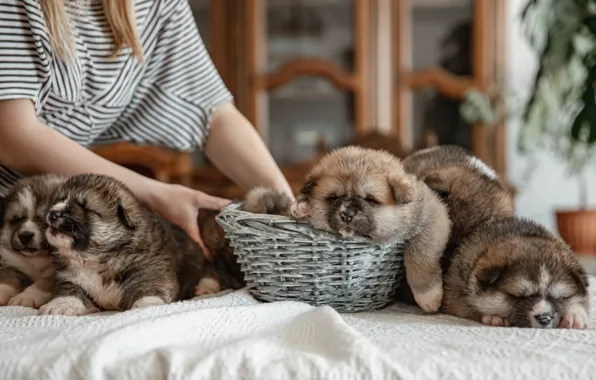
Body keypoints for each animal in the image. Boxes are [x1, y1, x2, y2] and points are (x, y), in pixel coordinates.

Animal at [0, 174, 65, 308]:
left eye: (46, 220)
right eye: (17, 219)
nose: (25, 236)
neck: (38, 258)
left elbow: (45, 281)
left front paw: (27, 297)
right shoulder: (13, 265)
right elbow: (8, 276)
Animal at [36, 174, 237, 316]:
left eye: (85, 208)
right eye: (57, 201)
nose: (53, 214)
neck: (96, 258)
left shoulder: (151, 271)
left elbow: (149, 290)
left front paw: (145, 305)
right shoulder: (69, 277)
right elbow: (69, 291)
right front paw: (59, 305)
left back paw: (206, 287)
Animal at [286, 145, 450, 312]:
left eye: (370, 199)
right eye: (334, 197)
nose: (346, 214)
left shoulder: (431, 214)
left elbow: (419, 253)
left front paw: (428, 296)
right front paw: (302, 207)